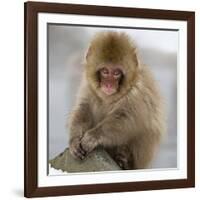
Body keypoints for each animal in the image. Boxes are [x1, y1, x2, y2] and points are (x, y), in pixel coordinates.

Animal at [68, 31, 165, 169]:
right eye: (105, 71)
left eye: (116, 73)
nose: (109, 85)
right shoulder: (88, 87)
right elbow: (84, 109)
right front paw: (74, 140)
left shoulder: (137, 93)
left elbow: (127, 119)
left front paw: (93, 136)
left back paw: (124, 160)